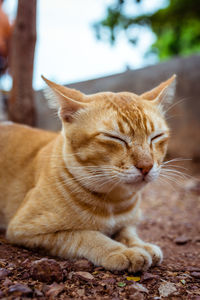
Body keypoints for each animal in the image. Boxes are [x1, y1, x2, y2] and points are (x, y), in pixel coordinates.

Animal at [0, 74, 176, 272]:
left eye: (156, 136)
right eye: (114, 138)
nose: (146, 166)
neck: (115, 201)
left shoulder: (128, 222)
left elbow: (127, 231)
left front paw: (140, 244)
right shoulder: (24, 228)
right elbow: (86, 235)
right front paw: (123, 251)